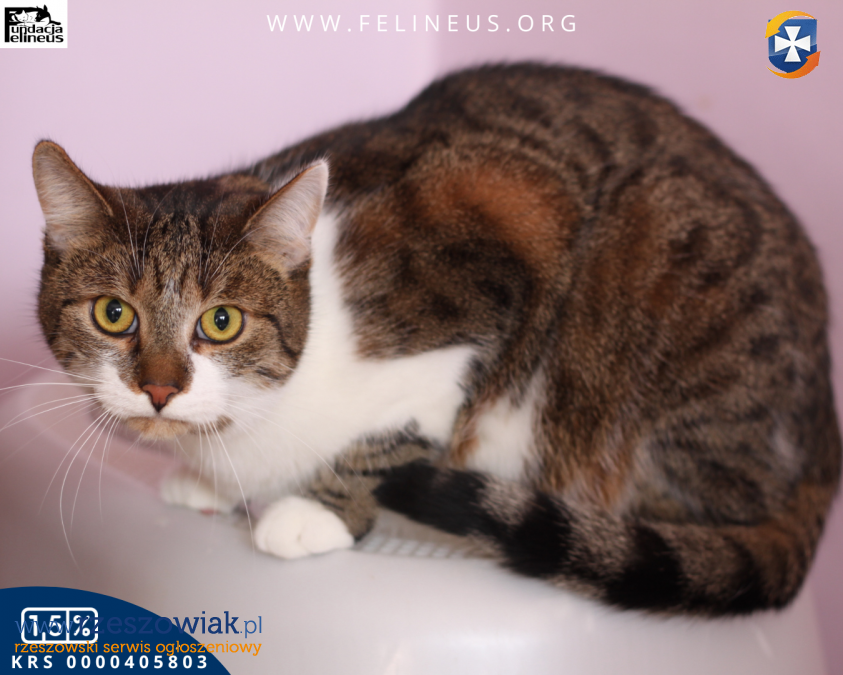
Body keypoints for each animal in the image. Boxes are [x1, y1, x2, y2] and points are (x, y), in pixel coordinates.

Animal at [32, 63, 841, 616]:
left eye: (221, 322)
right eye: (113, 314)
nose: (159, 389)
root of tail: (822, 432)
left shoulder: (503, 237)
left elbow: (397, 429)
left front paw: (321, 510)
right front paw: (208, 483)